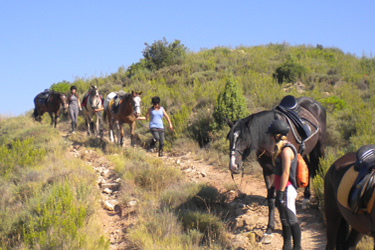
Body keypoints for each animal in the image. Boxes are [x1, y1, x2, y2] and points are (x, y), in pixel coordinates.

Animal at [228, 95, 328, 242]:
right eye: (229, 139)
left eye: (243, 139)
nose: (233, 166)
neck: (270, 141)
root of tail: (315, 103)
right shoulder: (267, 170)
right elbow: (271, 198)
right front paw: (269, 229)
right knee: (309, 167)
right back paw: (306, 198)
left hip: (319, 148)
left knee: (319, 169)